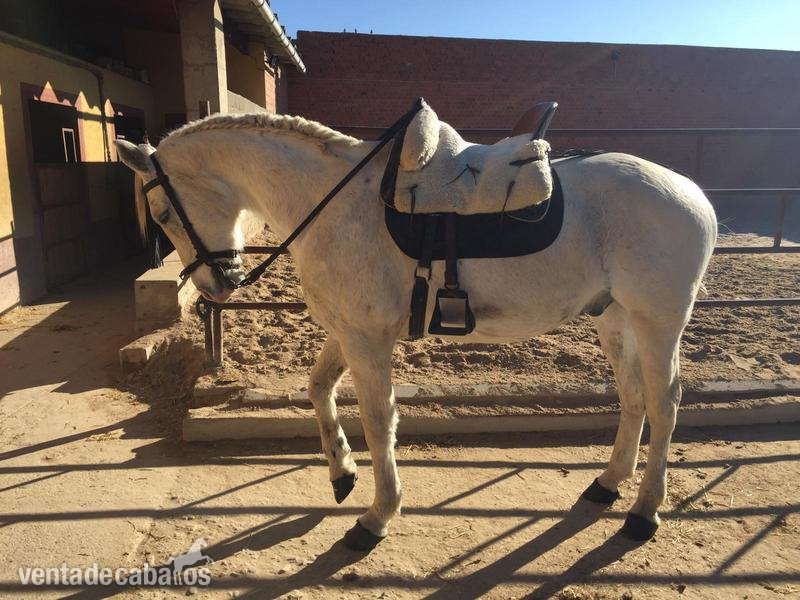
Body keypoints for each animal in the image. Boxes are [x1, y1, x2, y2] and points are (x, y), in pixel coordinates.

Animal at [115, 107, 717, 551]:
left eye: (163, 213)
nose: (216, 285)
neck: (333, 201)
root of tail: (692, 191)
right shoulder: (349, 330)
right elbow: (318, 389)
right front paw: (341, 473)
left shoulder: (367, 340)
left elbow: (380, 421)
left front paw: (377, 516)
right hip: (615, 319)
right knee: (633, 398)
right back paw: (609, 483)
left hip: (659, 322)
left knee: (664, 404)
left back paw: (644, 512)